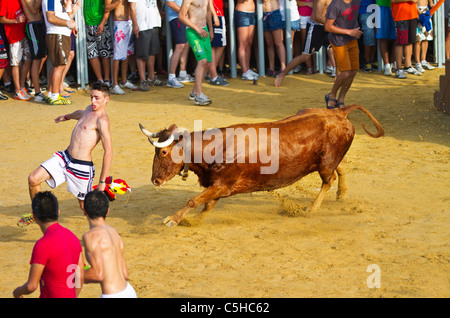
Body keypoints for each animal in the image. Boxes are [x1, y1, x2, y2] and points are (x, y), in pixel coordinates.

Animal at [140, 105, 384, 227]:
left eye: (163, 151)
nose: (155, 180)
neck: (216, 147)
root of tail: (338, 112)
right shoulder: (219, 187)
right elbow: (207, 205)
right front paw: (193, 221)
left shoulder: (222, 184)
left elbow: (194, 200)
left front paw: (173, 219)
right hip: (328, 160)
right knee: (340, 168)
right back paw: (342, 195)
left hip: (324, 163)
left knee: (328, 179)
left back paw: (311, 209)